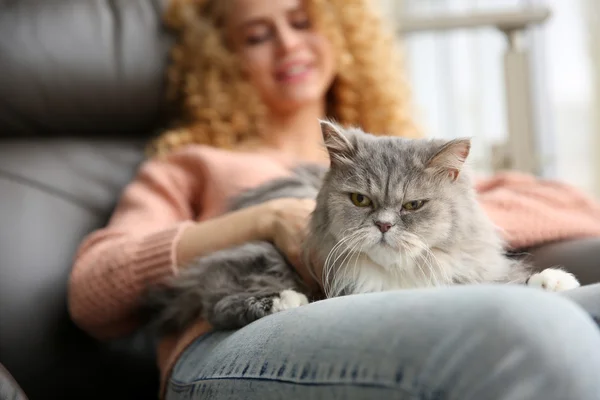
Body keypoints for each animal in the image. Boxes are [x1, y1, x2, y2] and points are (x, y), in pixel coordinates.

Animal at [138, 119, 580, 334]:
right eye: (360, 200)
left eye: (412, 206)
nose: (383, 225)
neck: (398, 278)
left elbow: (512, 280)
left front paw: (554, 281)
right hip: (257, 255)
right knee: (219, 303)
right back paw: (286, 301)